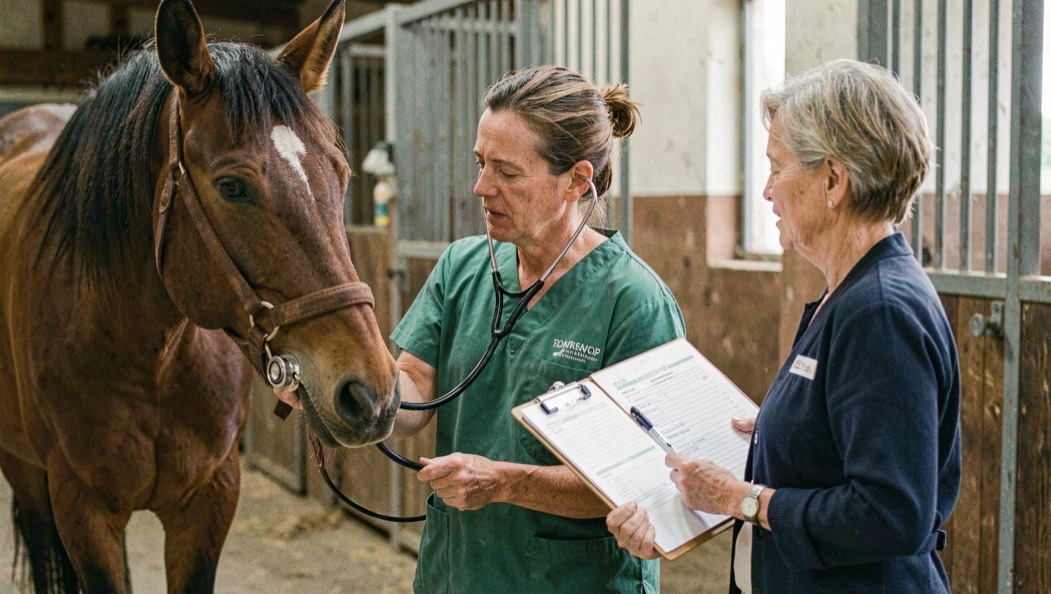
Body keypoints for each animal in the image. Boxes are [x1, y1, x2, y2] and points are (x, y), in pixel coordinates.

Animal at [0, 0, 400, 591]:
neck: (151, 357)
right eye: (232, 186)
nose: (371, 394)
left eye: (342, 172)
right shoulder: (81, 508)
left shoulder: (210, 500)